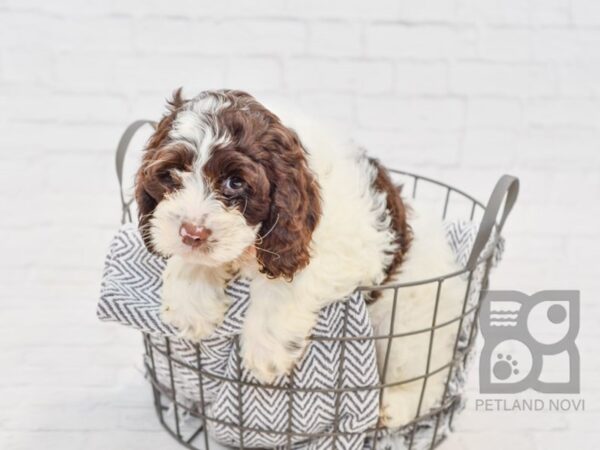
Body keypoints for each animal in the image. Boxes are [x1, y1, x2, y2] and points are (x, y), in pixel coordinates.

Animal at [135, 89, 464, 428]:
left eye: (235, 183)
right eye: (171, 174)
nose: (192, 232)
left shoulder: (352, 247)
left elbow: (285, 281)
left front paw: (267, 349)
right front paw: (190, 306)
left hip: (412, 317)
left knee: (422, 373)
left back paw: (396, 405)